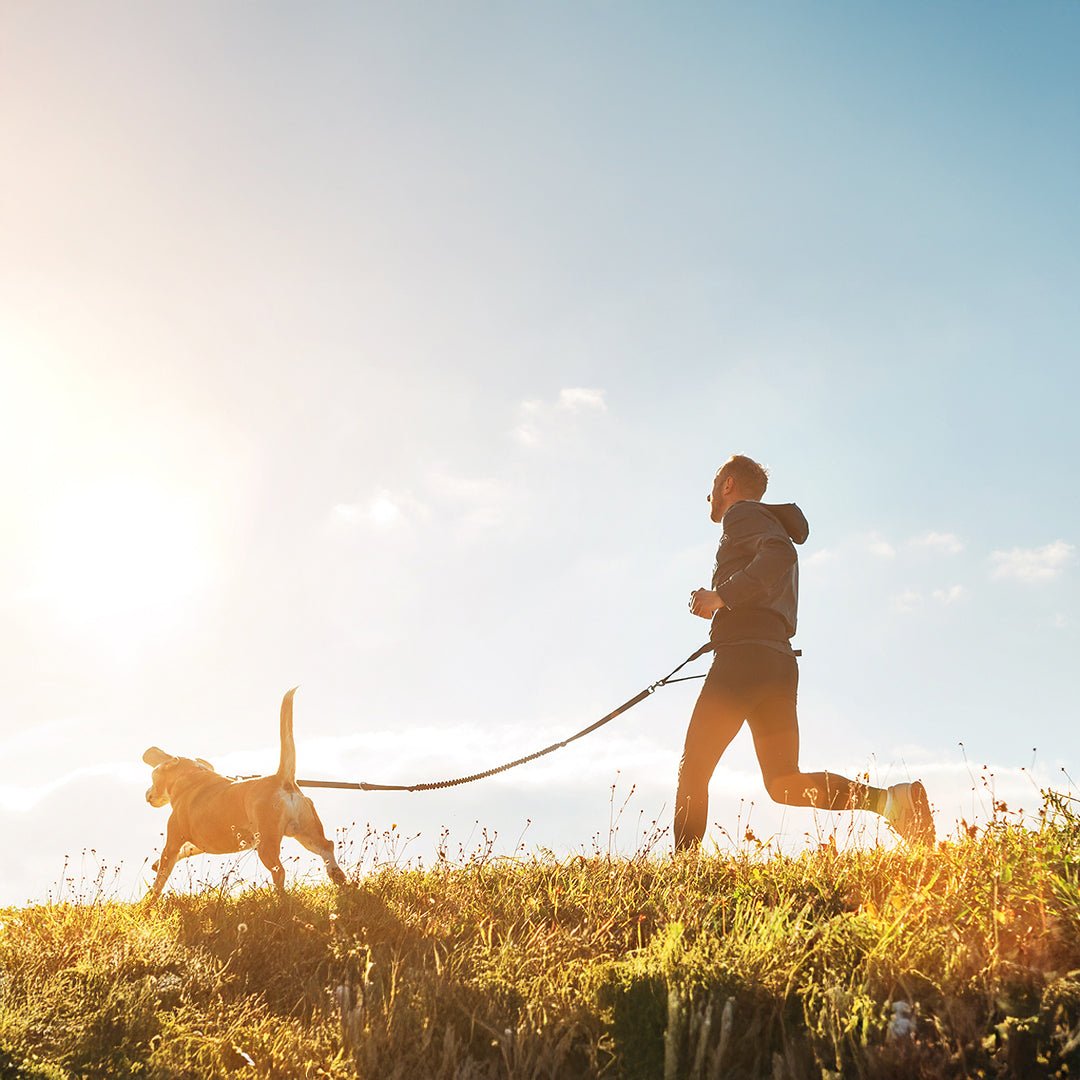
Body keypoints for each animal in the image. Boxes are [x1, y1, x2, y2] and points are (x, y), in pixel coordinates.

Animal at [142, 686, 345, 898]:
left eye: (153, 776)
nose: (146, 794)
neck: (191, 774)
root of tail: (282, 778)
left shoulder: (173, 841)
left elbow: (161, 876)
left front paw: (149, 900)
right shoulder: (198, 843)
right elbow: (188, 850)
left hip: (267, 842)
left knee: (279, 870)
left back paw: (279, 898)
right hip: (307, 832)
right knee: (327, 847)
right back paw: (338, 877)